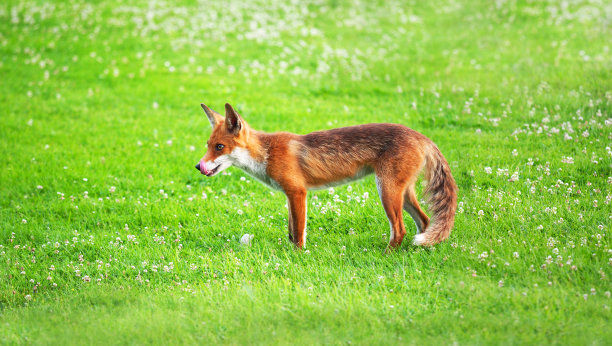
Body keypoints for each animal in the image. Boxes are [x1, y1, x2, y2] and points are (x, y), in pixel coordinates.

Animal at [196, 101, 460, 250]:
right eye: (208, 145)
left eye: (219, 147)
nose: (198, 166)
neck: (267, 154)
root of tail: (421, 136)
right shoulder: (289, 195)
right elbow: (291, 230)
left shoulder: (297, 192)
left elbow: (298, 232)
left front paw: (297, 256)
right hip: (402, 193)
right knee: (425, 222)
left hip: (387, 191)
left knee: (400, 229)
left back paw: (388, 255)